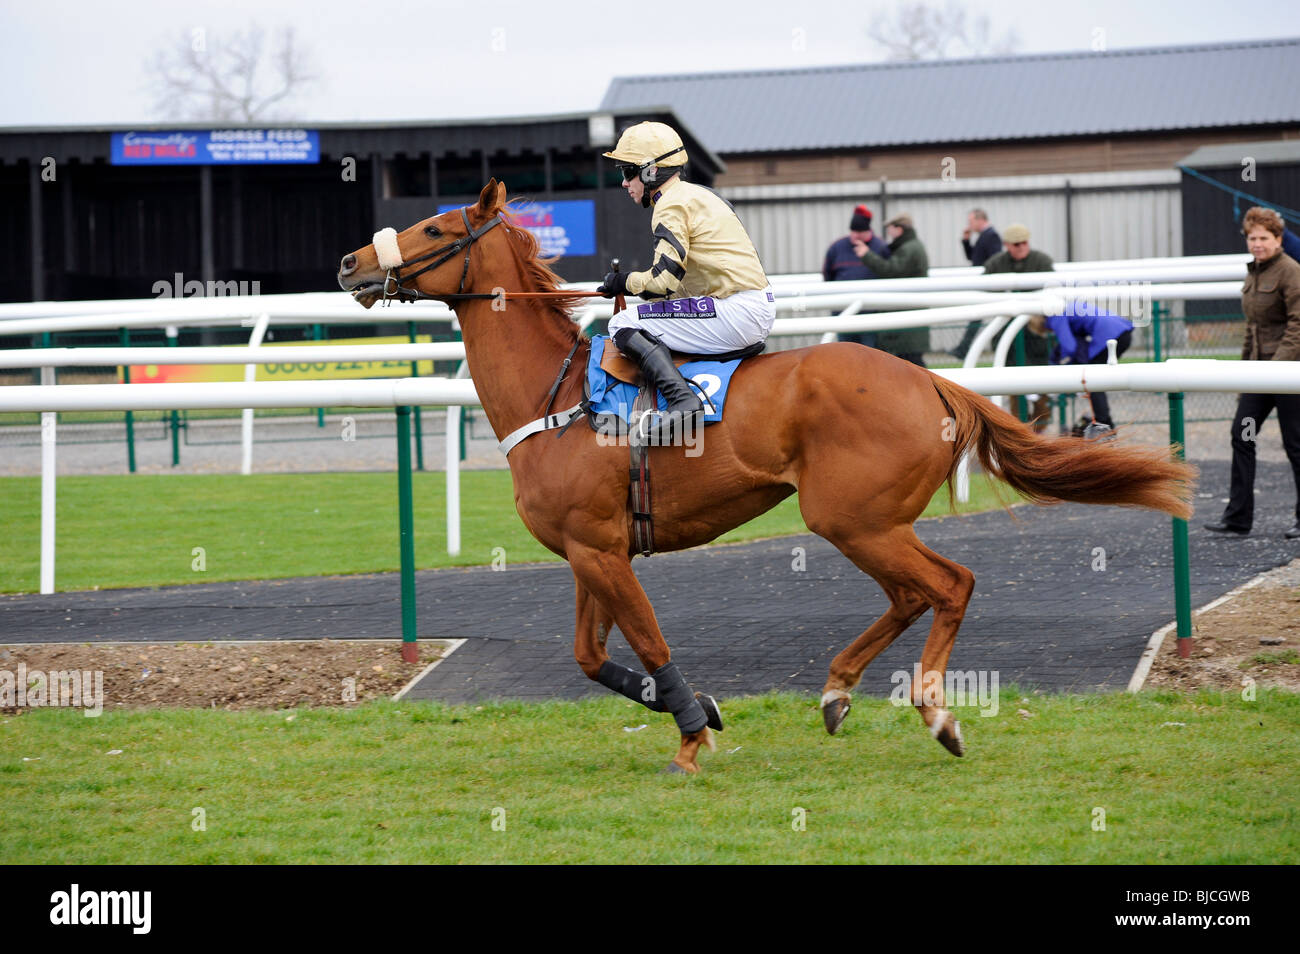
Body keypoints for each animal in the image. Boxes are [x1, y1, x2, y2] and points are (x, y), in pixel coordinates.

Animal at [338, 180, 1196, 779]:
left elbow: (650, 642)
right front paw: (706, 709)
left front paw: (690, 738)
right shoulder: (591, 551)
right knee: (912, 595)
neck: (560, 399)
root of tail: (929, 381)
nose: (351, 262)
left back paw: (936, 714)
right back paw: (839, 690)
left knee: (947, 585)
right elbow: (588, 657)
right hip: (865, 522)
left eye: (437, 228)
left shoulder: (602, 552)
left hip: (853, 519)